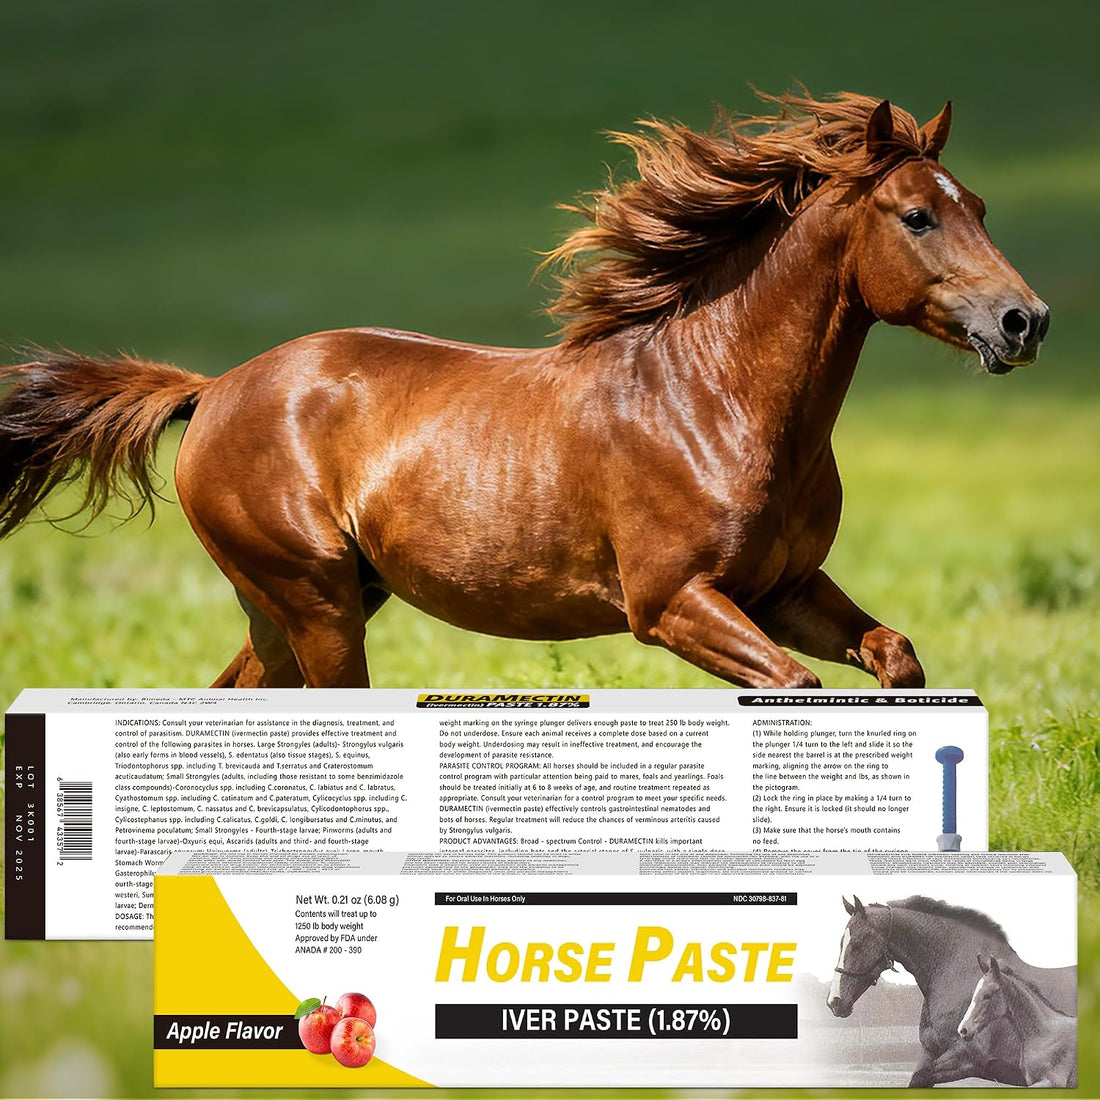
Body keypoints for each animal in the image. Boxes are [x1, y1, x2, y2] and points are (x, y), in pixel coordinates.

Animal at [0, 91, 1049, 688]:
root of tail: (214, 389)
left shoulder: (784, 588)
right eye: (916, 216)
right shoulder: (672, 603)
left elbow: (894, 656)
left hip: (311, 606)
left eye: (978, 205)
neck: (715, 404)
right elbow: (792, 687)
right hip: (317, 603)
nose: (1024, 321)